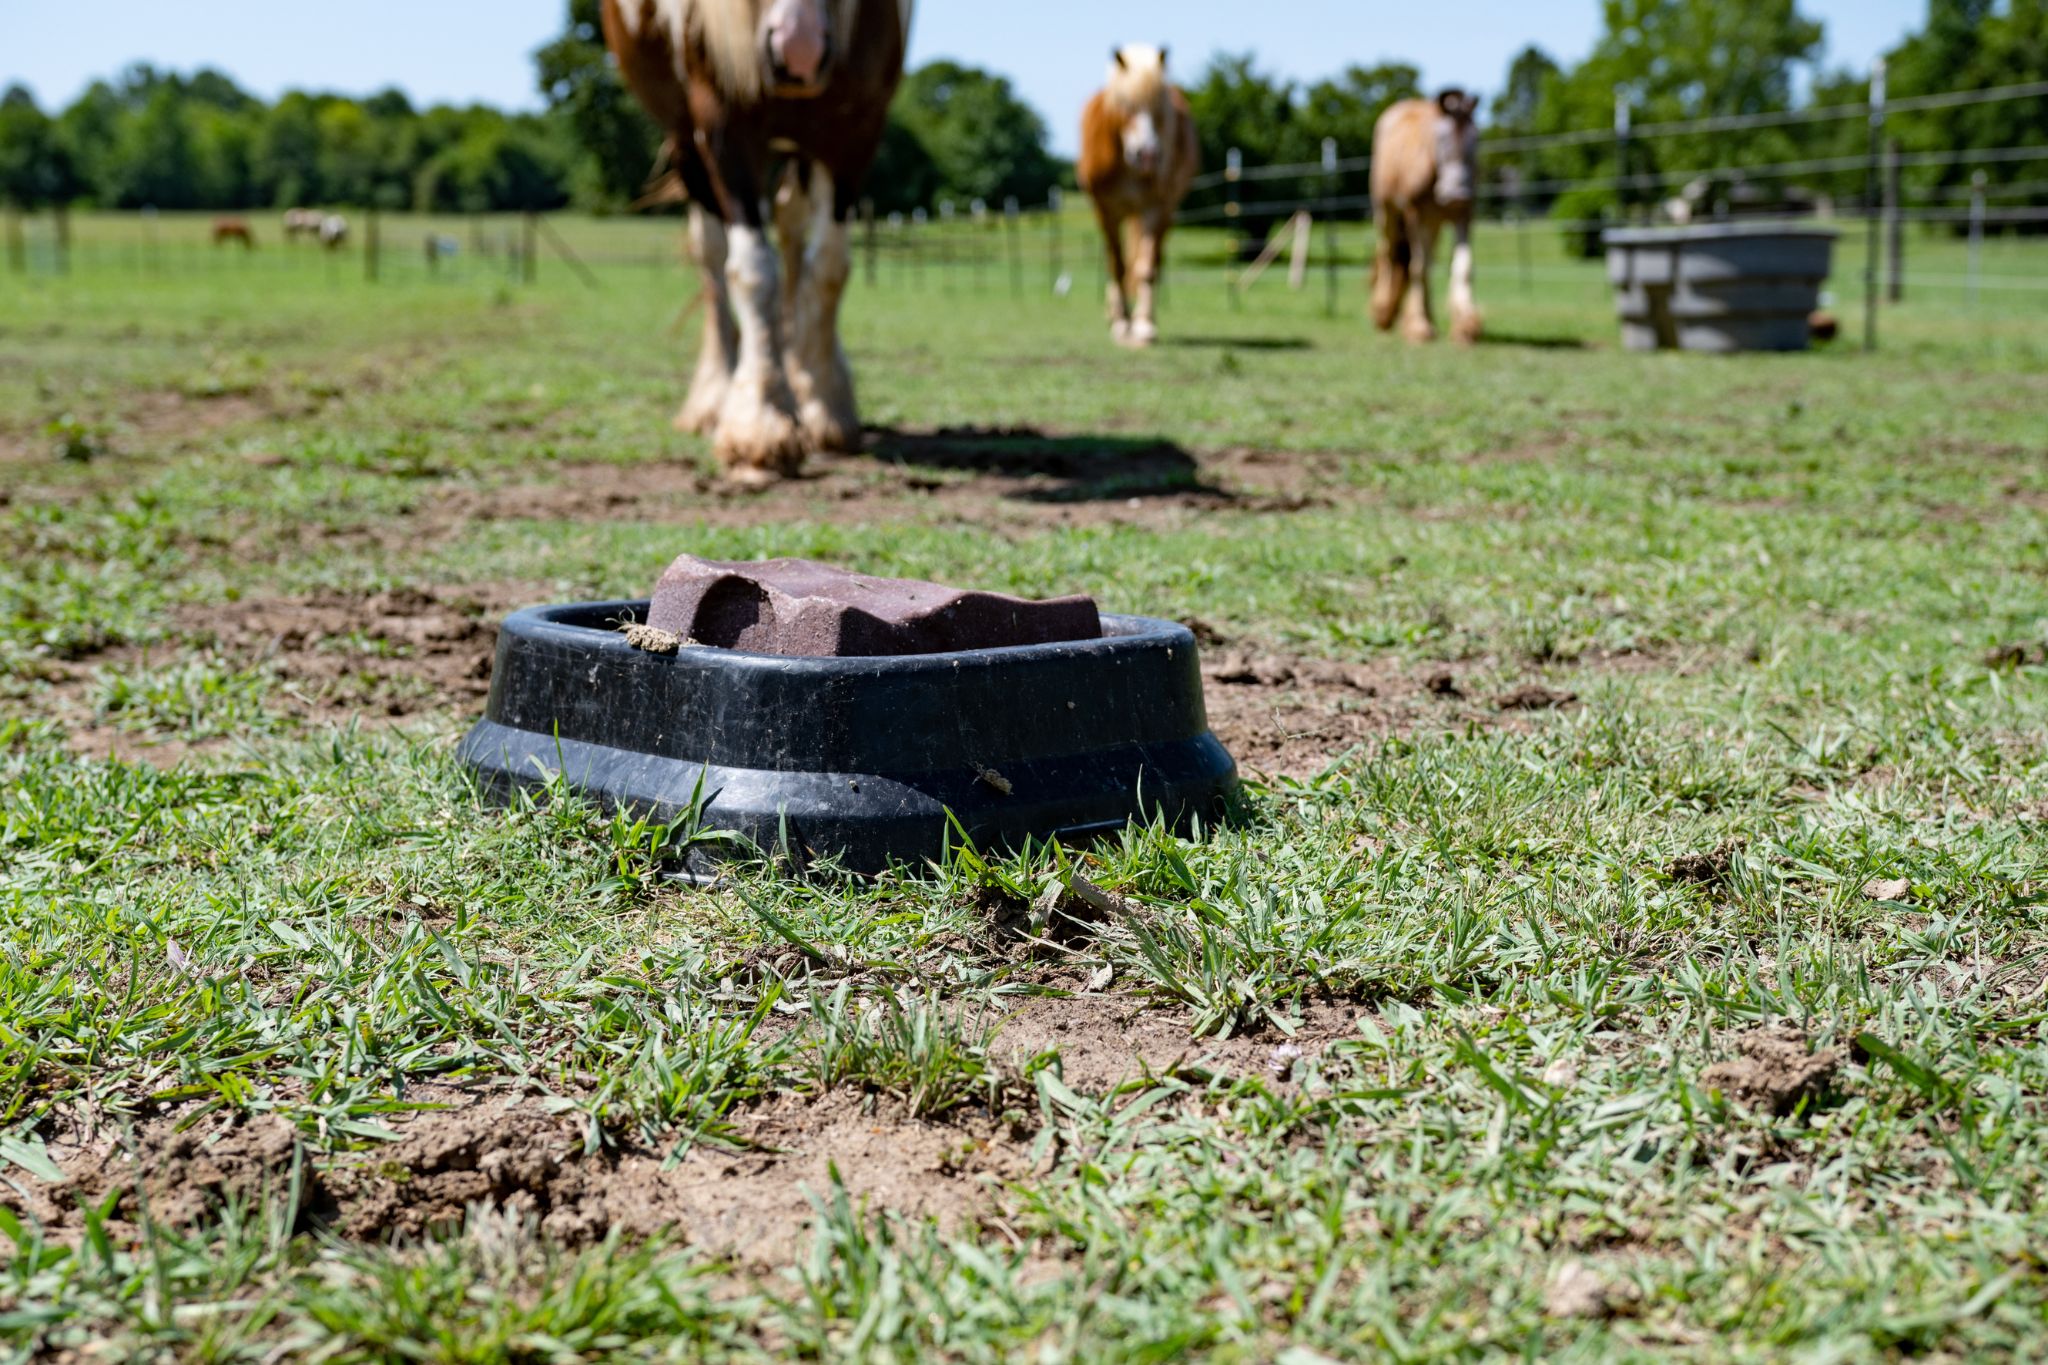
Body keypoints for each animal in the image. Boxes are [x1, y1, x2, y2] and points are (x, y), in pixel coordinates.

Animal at [602, 0, 914, 483]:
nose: (799, 49)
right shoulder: (724, 124)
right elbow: (751, 270)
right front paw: (760, 422)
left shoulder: (856, 128)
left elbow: (829, 268)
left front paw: (825, 404)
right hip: (686, 140)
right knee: (712, 251)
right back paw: (715, 394)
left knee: (791, 228)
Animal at [1077, 45, 1198, 348]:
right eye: (1124, 104)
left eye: (1159, 110)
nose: (1148, 155)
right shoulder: (1105, 210)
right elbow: (1117, 265)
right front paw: (1121, 323)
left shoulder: (1155, 208)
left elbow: (1146, 268)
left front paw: (1143, 326)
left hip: (1165, 210)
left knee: (1153, 261)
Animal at [1370, 90, 1482, 345]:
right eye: (1442, 139)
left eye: (1475, 139)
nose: (1457, 193)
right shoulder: (1415, 214)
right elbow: (1417, 268)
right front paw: (1418, 326)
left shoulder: (1463, 215)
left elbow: (1463, 266)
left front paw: (1465, 327)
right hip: (1387, 212)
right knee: (1389, 254)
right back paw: (1383, 313)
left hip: (1434, 224)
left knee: (1426, 261)